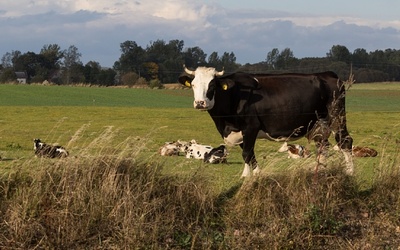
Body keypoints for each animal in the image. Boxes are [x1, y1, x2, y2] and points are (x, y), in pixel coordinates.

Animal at [178, 65, 354, 177]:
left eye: (212, 85)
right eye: (193, 85)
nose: (200, 103)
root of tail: (328, 74)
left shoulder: (250, 127)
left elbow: (247, 153)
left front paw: (252, 176)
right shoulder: (240, 132)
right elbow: (249, 155)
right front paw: (249, 175)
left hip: (337, 117)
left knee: (345, 141)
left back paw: (349, 172)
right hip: (317, 125)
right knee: (323, 146)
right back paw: (321, 171)